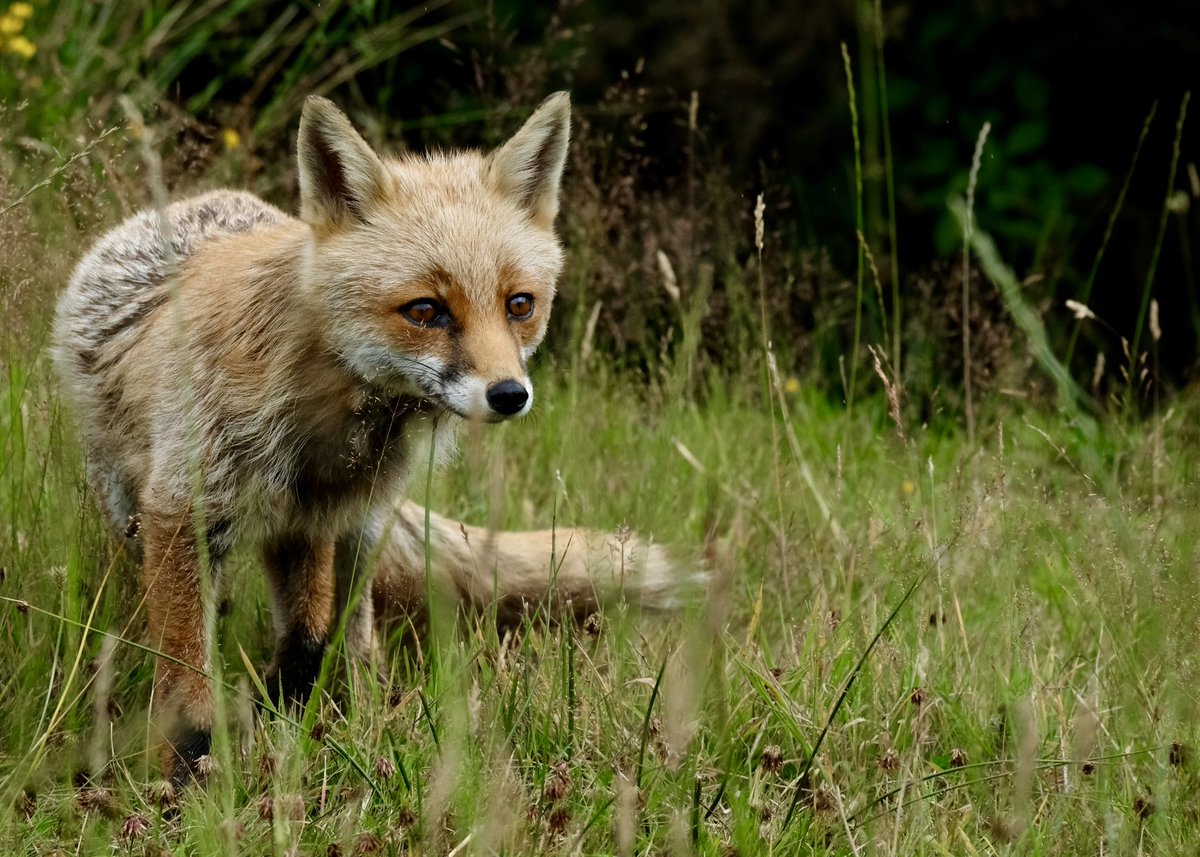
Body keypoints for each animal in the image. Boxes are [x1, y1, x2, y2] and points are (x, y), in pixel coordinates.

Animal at [53, 93, 688, 786]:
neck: (328, 420)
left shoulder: (321, 515)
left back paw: (354, 705)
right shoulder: (184, 507)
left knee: (347, 631)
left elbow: (310, 636)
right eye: (425, 311)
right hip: (138, 512)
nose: (509, 395)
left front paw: (287, 717)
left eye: (519, 305)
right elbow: (186, 667)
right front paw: (189, 775)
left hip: (351, 528)